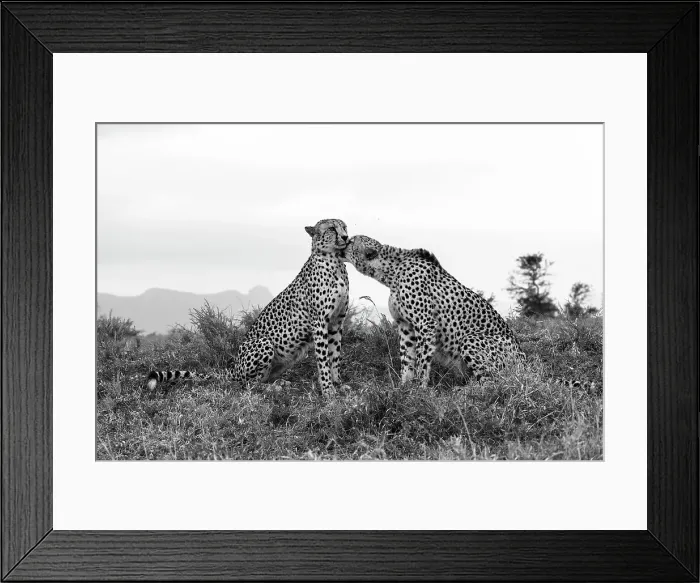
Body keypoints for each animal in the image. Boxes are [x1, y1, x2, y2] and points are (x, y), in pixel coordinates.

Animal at [147, 218, 350, 395]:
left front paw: (338, 384)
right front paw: (328, 390)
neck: (335, 261)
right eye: (332, 228)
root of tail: (234, 367)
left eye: (344, 226)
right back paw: (272, 388)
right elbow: (323, 359)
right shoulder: (319, 322)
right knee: (248, 385)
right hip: (264, 343)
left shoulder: (336, 322)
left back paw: (279, 383)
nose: (346, 237)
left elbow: (335, 356)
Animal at [342, 234, 595, 392]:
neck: (392, 271)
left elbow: (422, 360)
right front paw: (404, 386)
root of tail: (525, 362)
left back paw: (464, 392)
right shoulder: (406, 326)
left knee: (493, 384)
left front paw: (419, 389)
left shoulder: (426, 325)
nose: (343, 241)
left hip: (472, 340)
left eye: (352, 241)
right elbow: (407, 359)